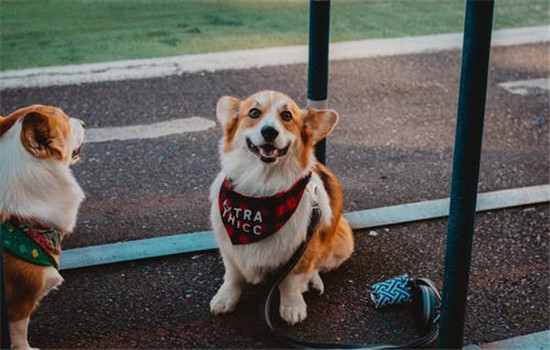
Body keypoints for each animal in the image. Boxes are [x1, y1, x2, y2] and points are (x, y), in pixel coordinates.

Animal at [209, 91, 356, 326]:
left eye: (287, 116)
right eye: (254, 112)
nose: (269, 131)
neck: (261, 190)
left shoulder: (302, 249)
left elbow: (290, 281)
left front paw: (292, 307)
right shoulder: (229, 249)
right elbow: (233, 275)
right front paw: (225, 299)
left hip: (342, 241)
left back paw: (314, 282)